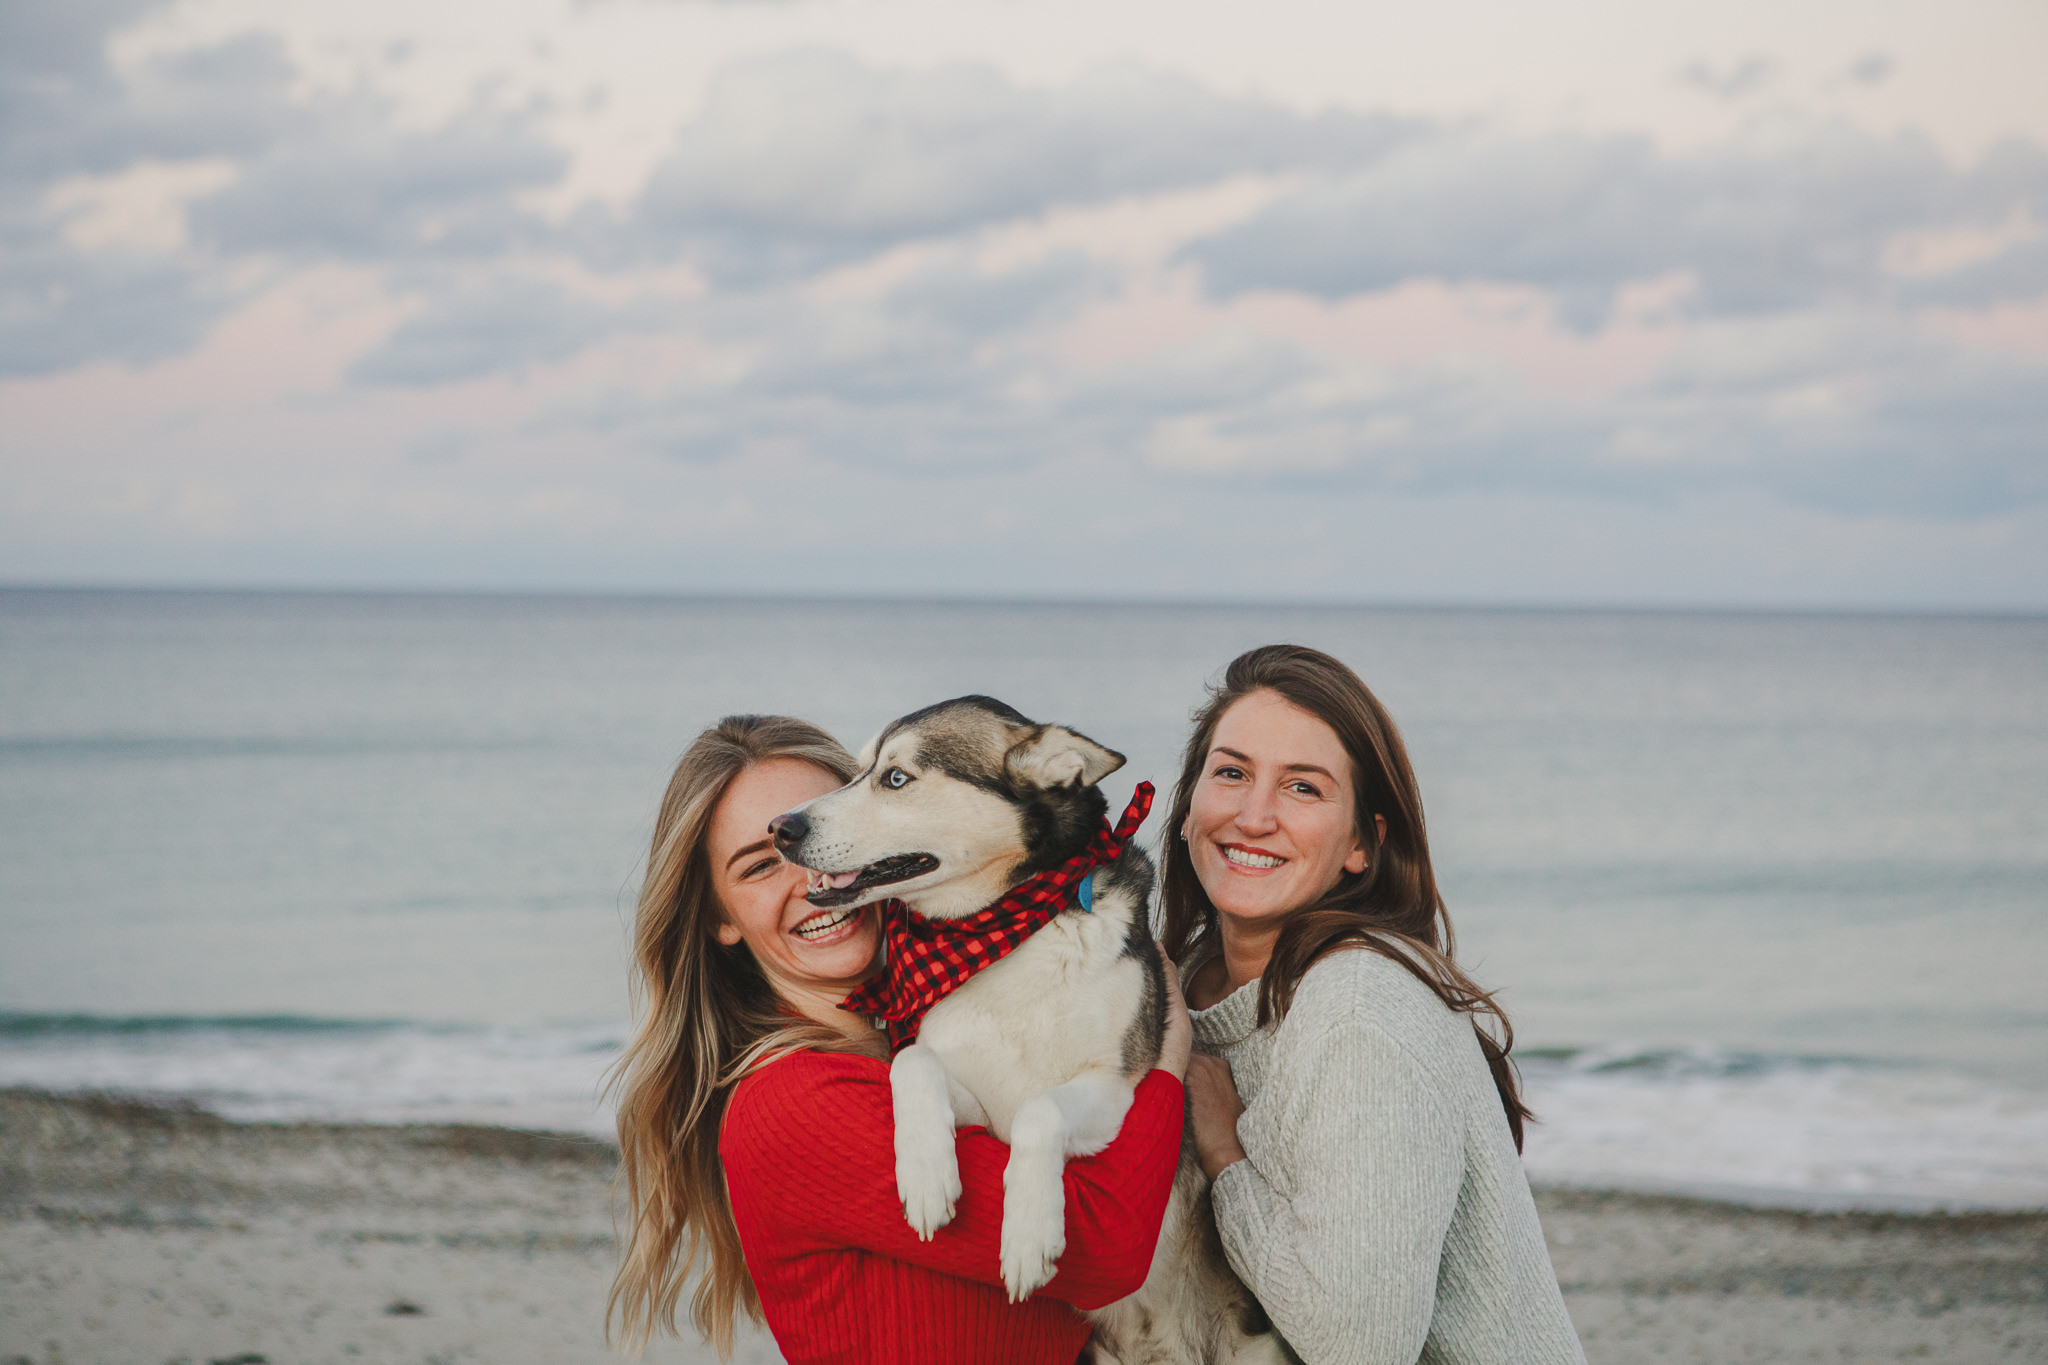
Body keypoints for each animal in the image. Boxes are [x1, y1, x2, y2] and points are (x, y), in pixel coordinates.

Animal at [770, 699, 1277, 1365]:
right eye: (857, 771)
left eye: (896, 778)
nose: (781, 827)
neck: (1004, 937)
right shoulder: (982, 1109)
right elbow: (913, 1064)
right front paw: (927, 1177)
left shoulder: (1118, 1092)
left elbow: (1042, 1110)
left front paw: (1028, 1238)